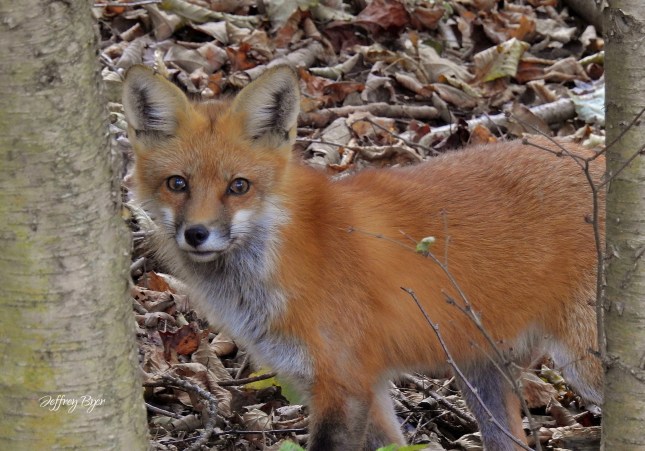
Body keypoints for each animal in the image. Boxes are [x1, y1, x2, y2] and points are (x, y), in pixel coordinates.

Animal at [123, 64, 604, 450]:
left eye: (238, 186)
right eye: (178, 183)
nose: (196, 234)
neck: (283, 254)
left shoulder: (344, 385)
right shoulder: (358, 388)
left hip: (585, 365)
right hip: (483, 375)